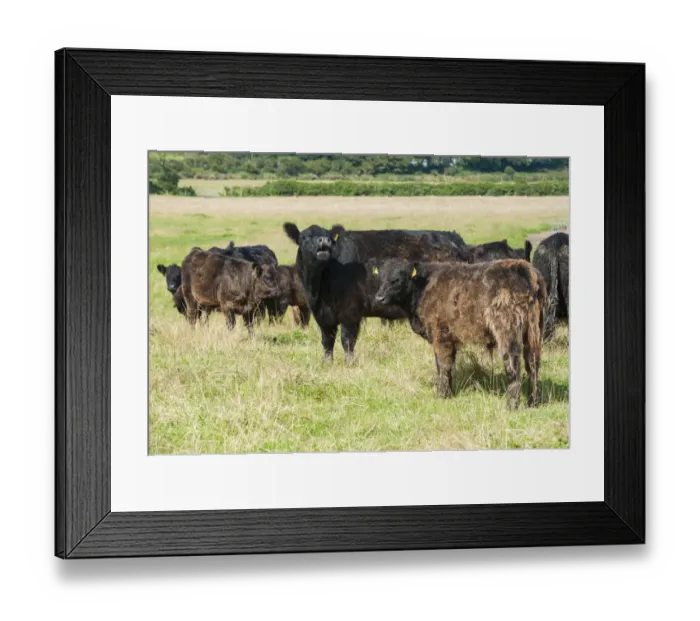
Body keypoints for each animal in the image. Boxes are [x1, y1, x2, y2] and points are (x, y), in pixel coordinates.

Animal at [283, 222, 470, 364]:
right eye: (305, 237)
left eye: (328, 235)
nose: (325, 241)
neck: (319, 283)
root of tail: (453, 239)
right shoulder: (321, 314)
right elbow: (327, 341)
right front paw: (327, 363)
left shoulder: (350, 312)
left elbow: (347, 340)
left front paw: (349, 363)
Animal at [374, 259, 546, 408]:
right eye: (380, 278)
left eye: (397, 279)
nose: (379, 297)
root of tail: (521, 266)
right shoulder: (449, 339)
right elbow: (448, 368)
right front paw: (449, 394)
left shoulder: (440, 336)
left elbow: (443, 366)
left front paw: (441, 396)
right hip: (533, 332)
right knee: (533, 364)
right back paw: (533, 402)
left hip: (507, 330)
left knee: (513, 365)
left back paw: (511, 405)